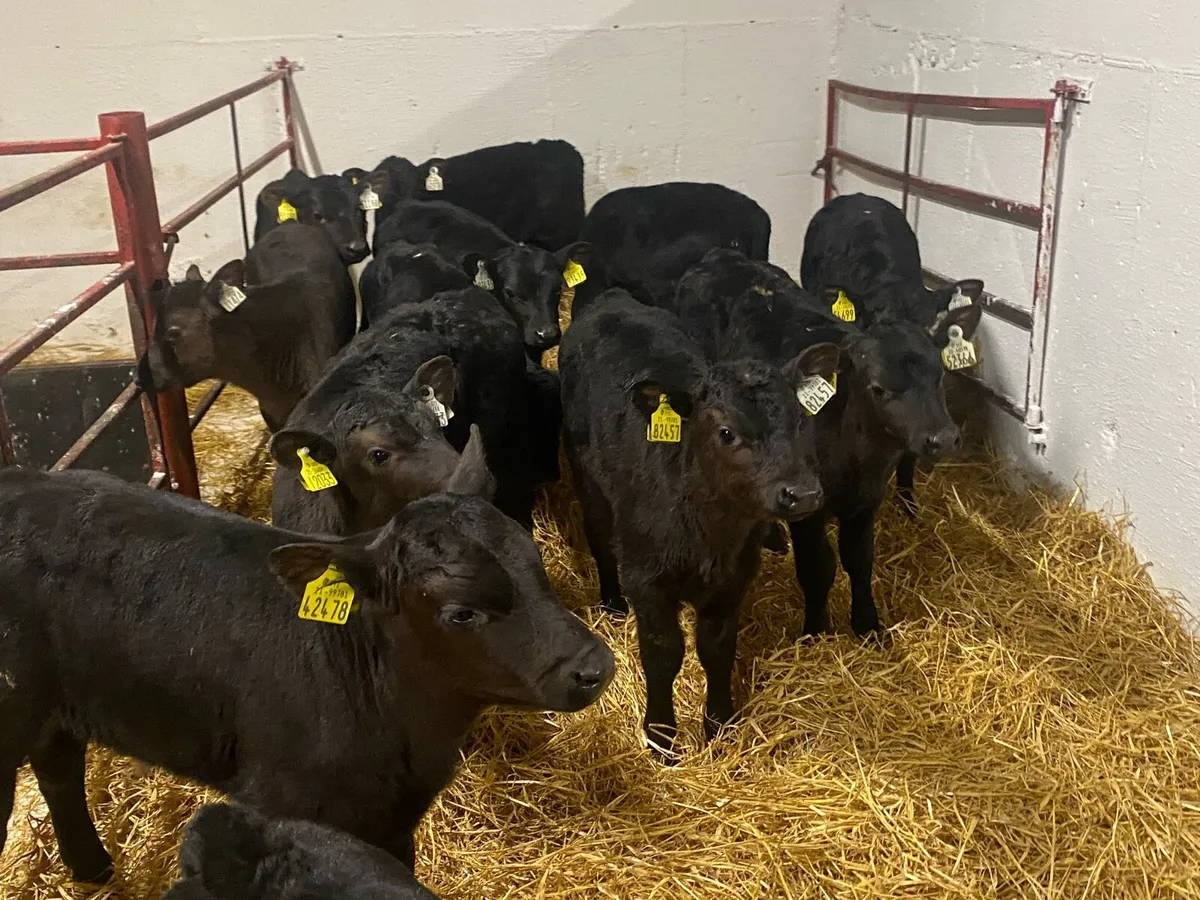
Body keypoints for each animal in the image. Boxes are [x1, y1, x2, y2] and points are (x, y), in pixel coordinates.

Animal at [0, 440, 614, 883]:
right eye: (461, 613)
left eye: (534, 560)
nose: (595, 666)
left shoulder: (392, 820)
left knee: (59, 769)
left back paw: (93, 869)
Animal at [559, 288, 836, 753]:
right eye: (726, 433)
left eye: (801, 421)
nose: (803, 494)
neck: (710, 532)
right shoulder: (647, 581)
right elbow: (662, 652)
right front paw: (661, 736)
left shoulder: (732, 579)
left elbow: (717, 648)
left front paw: (719, 725)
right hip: (589, 483)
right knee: (599, 538)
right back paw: (611, 603)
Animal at [670, 249, 983, 639]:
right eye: (878, 387)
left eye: (939, 375)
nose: (941, 438)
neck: (856, 454)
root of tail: (721, 256)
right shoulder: (807, 505)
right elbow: (817, 568)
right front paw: (815, 631)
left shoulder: (865, 501)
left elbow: (860, 559)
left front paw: (867, 625)